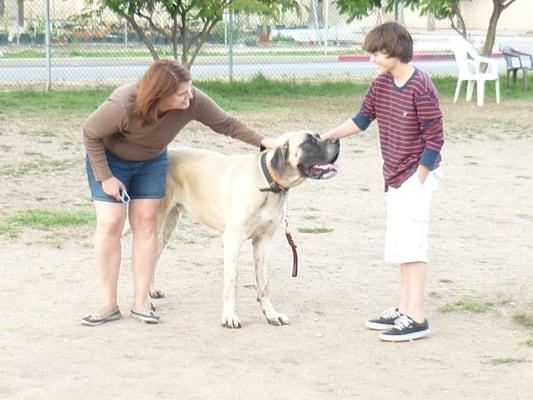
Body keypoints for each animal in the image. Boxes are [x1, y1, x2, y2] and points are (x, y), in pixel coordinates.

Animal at [154, 131, 338, 328]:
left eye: (318, 136)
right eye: (308, 141)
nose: (337, 140)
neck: (266, 182)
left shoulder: (264, 241)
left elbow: (264, 283)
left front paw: (271, 314)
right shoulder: (232, 241)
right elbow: (232, 283)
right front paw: (229, 316)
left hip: (167, 228)